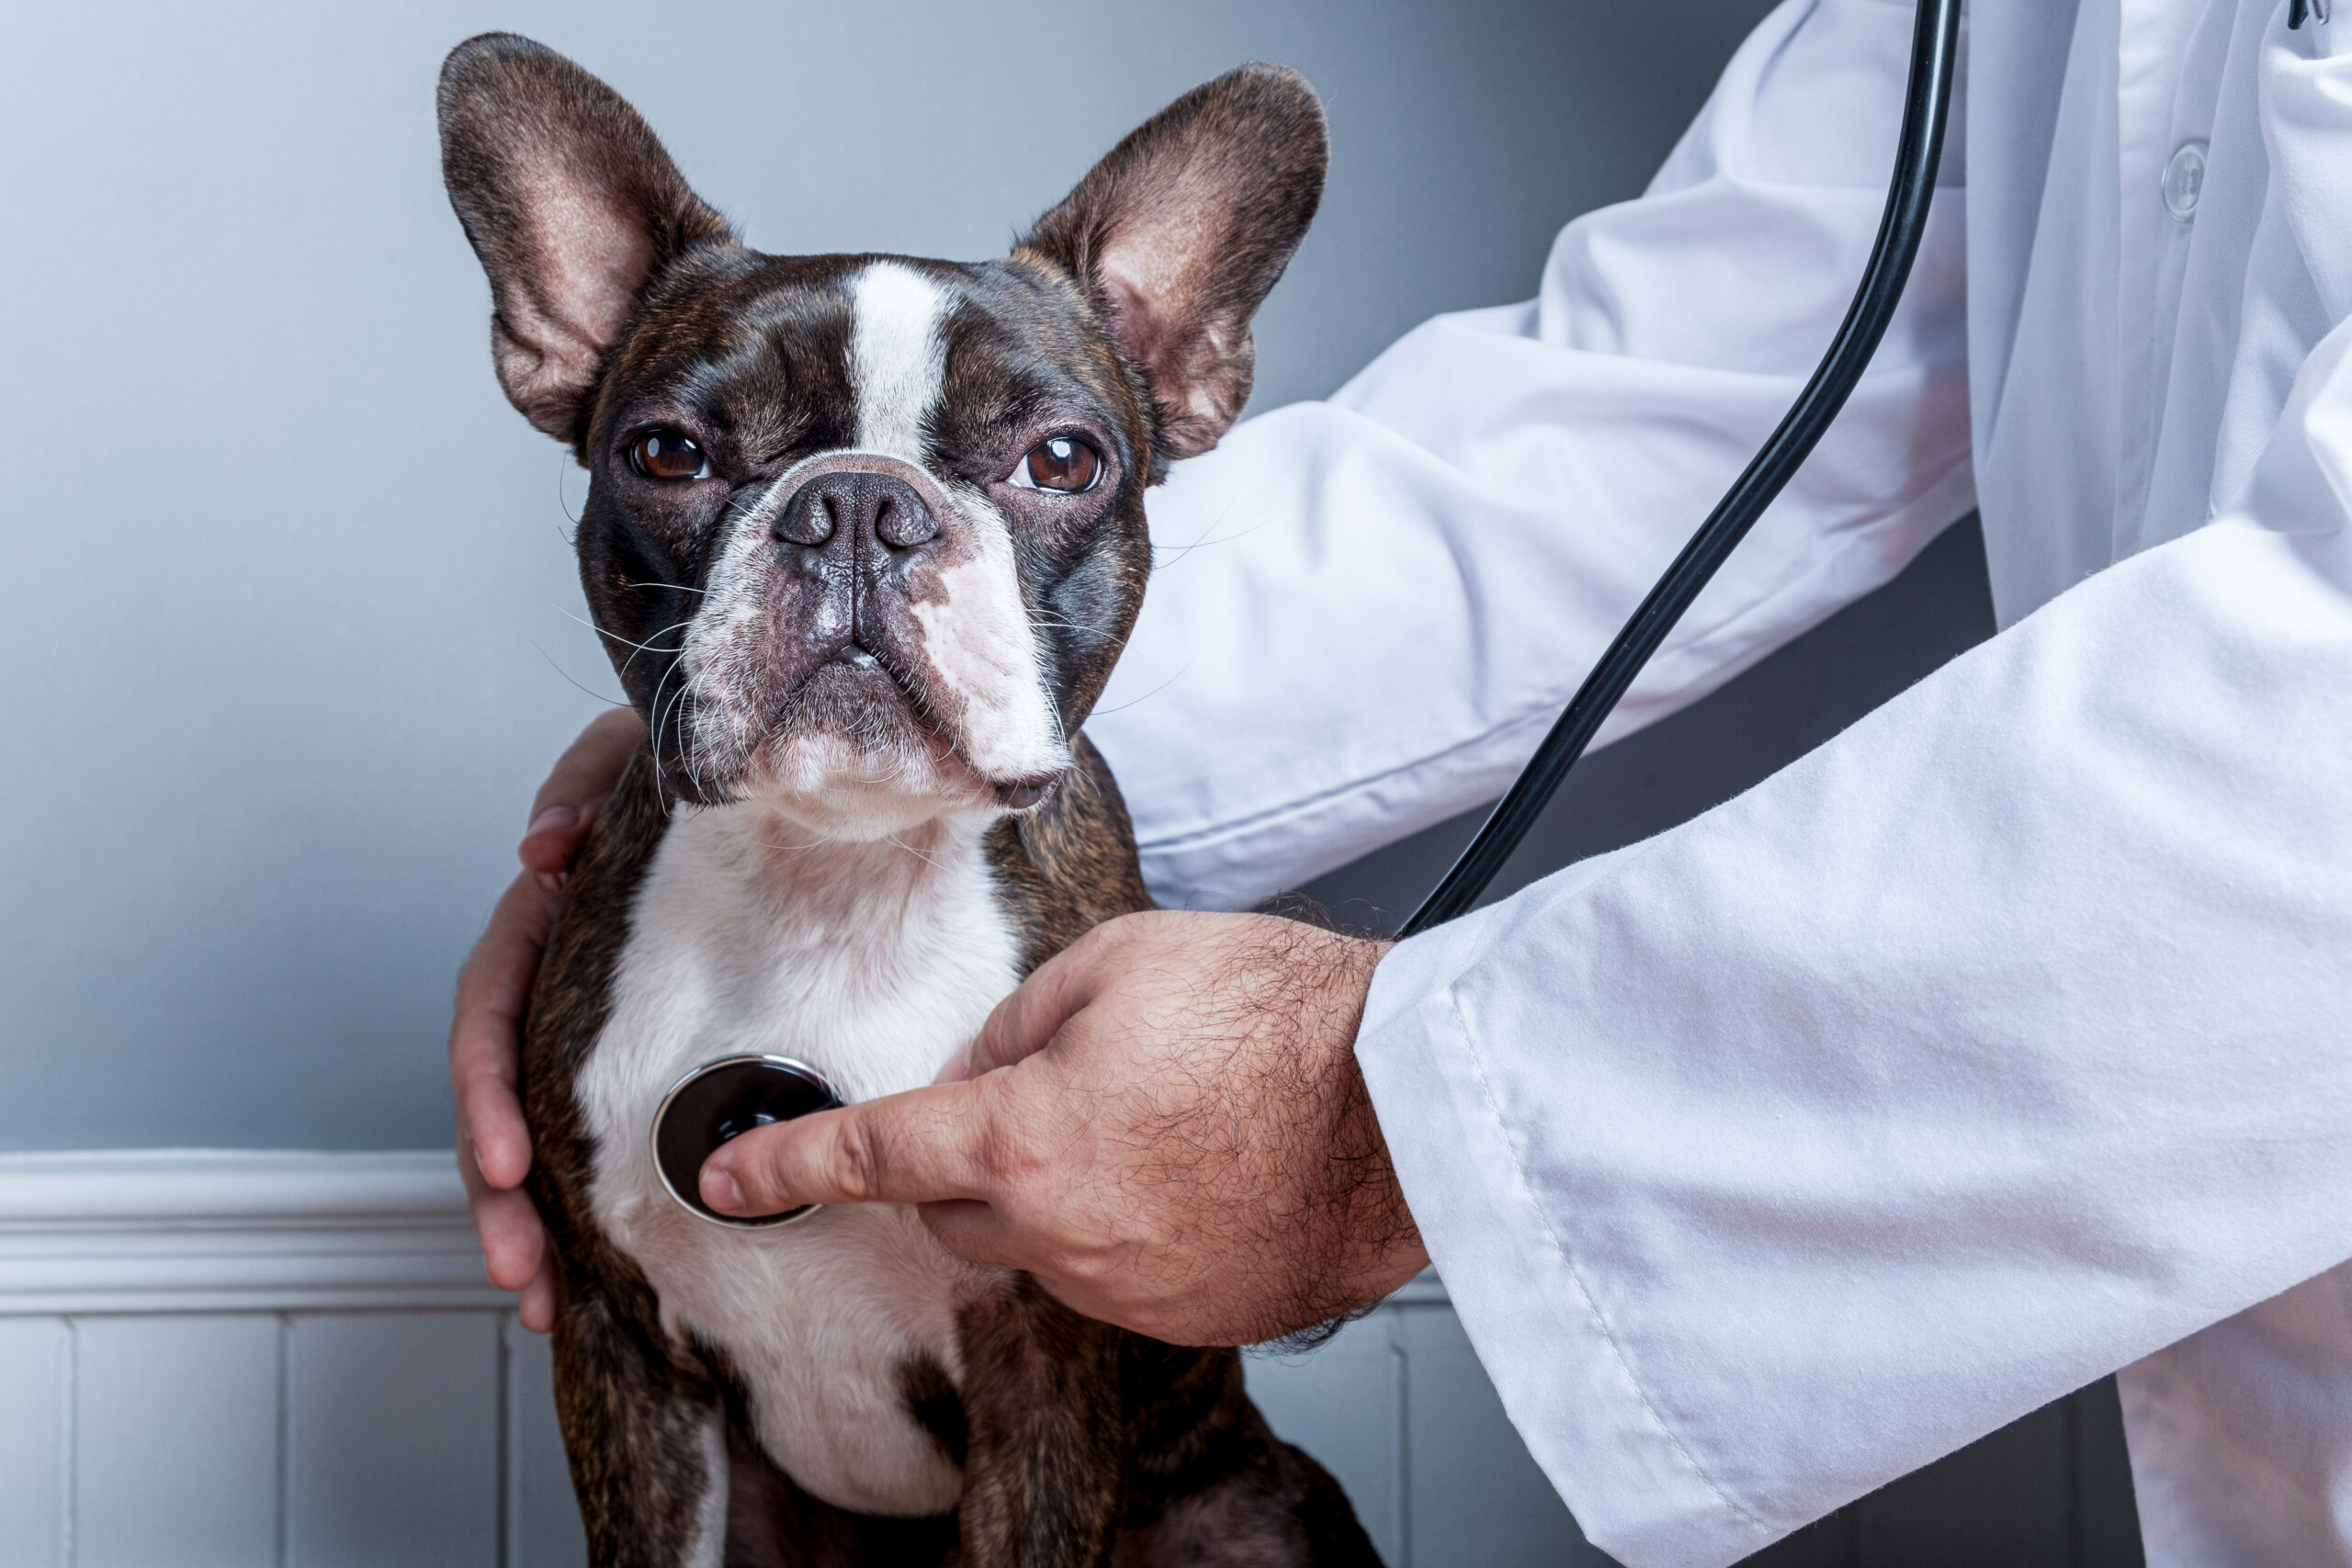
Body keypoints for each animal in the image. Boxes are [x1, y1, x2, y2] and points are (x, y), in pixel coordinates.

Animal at [442, 30, 1374, 1561]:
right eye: (669, 452)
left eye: (1061, 458)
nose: (860, 506)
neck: (840, 878)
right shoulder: (620, 1355)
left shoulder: (1045, 1368)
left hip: (1252, 1504)